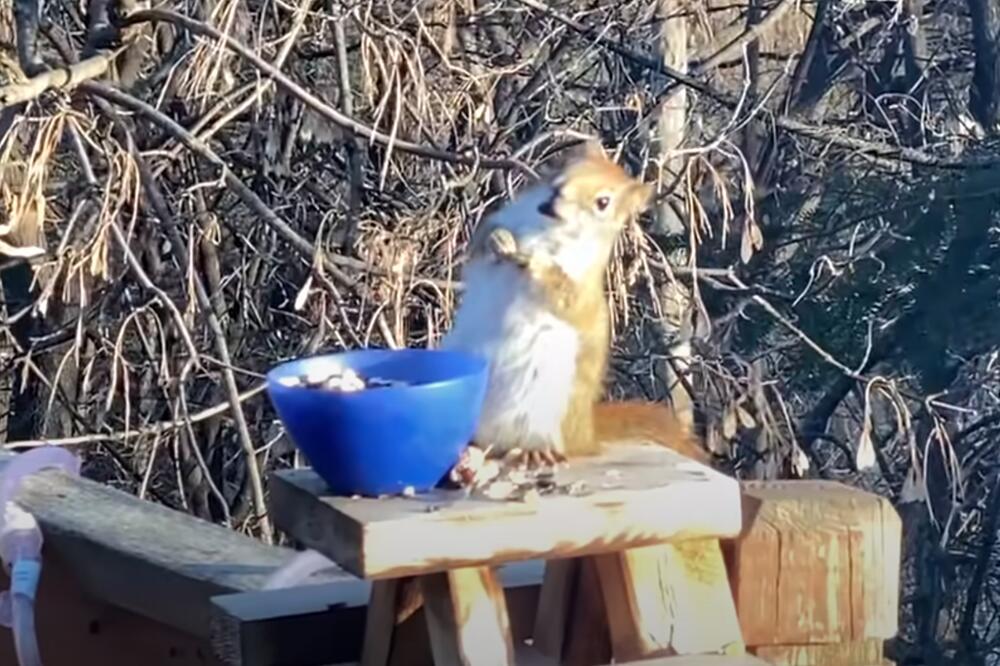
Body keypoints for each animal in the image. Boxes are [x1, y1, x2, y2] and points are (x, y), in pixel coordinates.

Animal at [442, 137, 708, 464]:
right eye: (562, 174)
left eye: (603, 202)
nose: (554, 200)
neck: (549, 230)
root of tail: (584, 435)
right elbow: (481, 241)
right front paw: (499, 240)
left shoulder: (582, 284)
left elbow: (565, 296)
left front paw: (536, 262)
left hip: (541, 409)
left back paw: (533, 451)